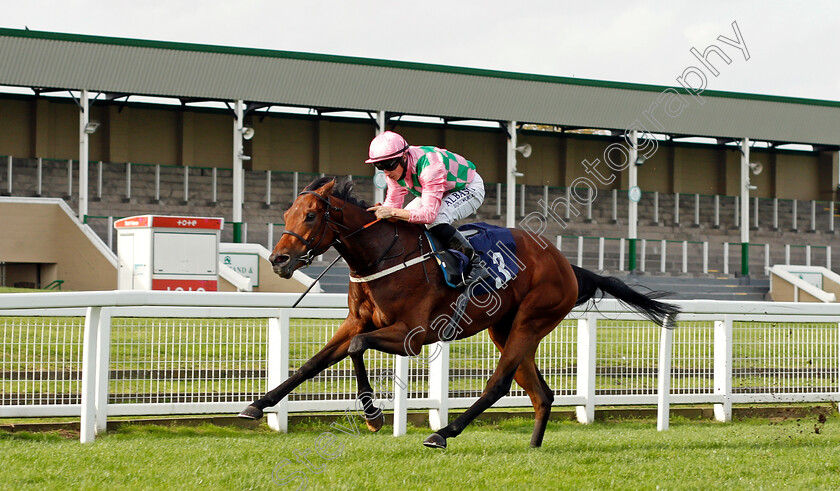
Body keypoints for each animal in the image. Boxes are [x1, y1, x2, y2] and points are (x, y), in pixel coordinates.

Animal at [235, 178, 676, 450]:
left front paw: (374, 415)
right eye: (287, 214)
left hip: (532, 319)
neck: (382, 256)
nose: (278, 260)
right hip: (505, 328)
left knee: (498, 384)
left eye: (310, 215)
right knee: (541, 392)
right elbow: (313, 363)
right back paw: (533, 447)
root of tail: (567, 265)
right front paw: (257, 405)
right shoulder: (356, 321)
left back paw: (444, 433)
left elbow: (358, 347)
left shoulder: (412, 335)